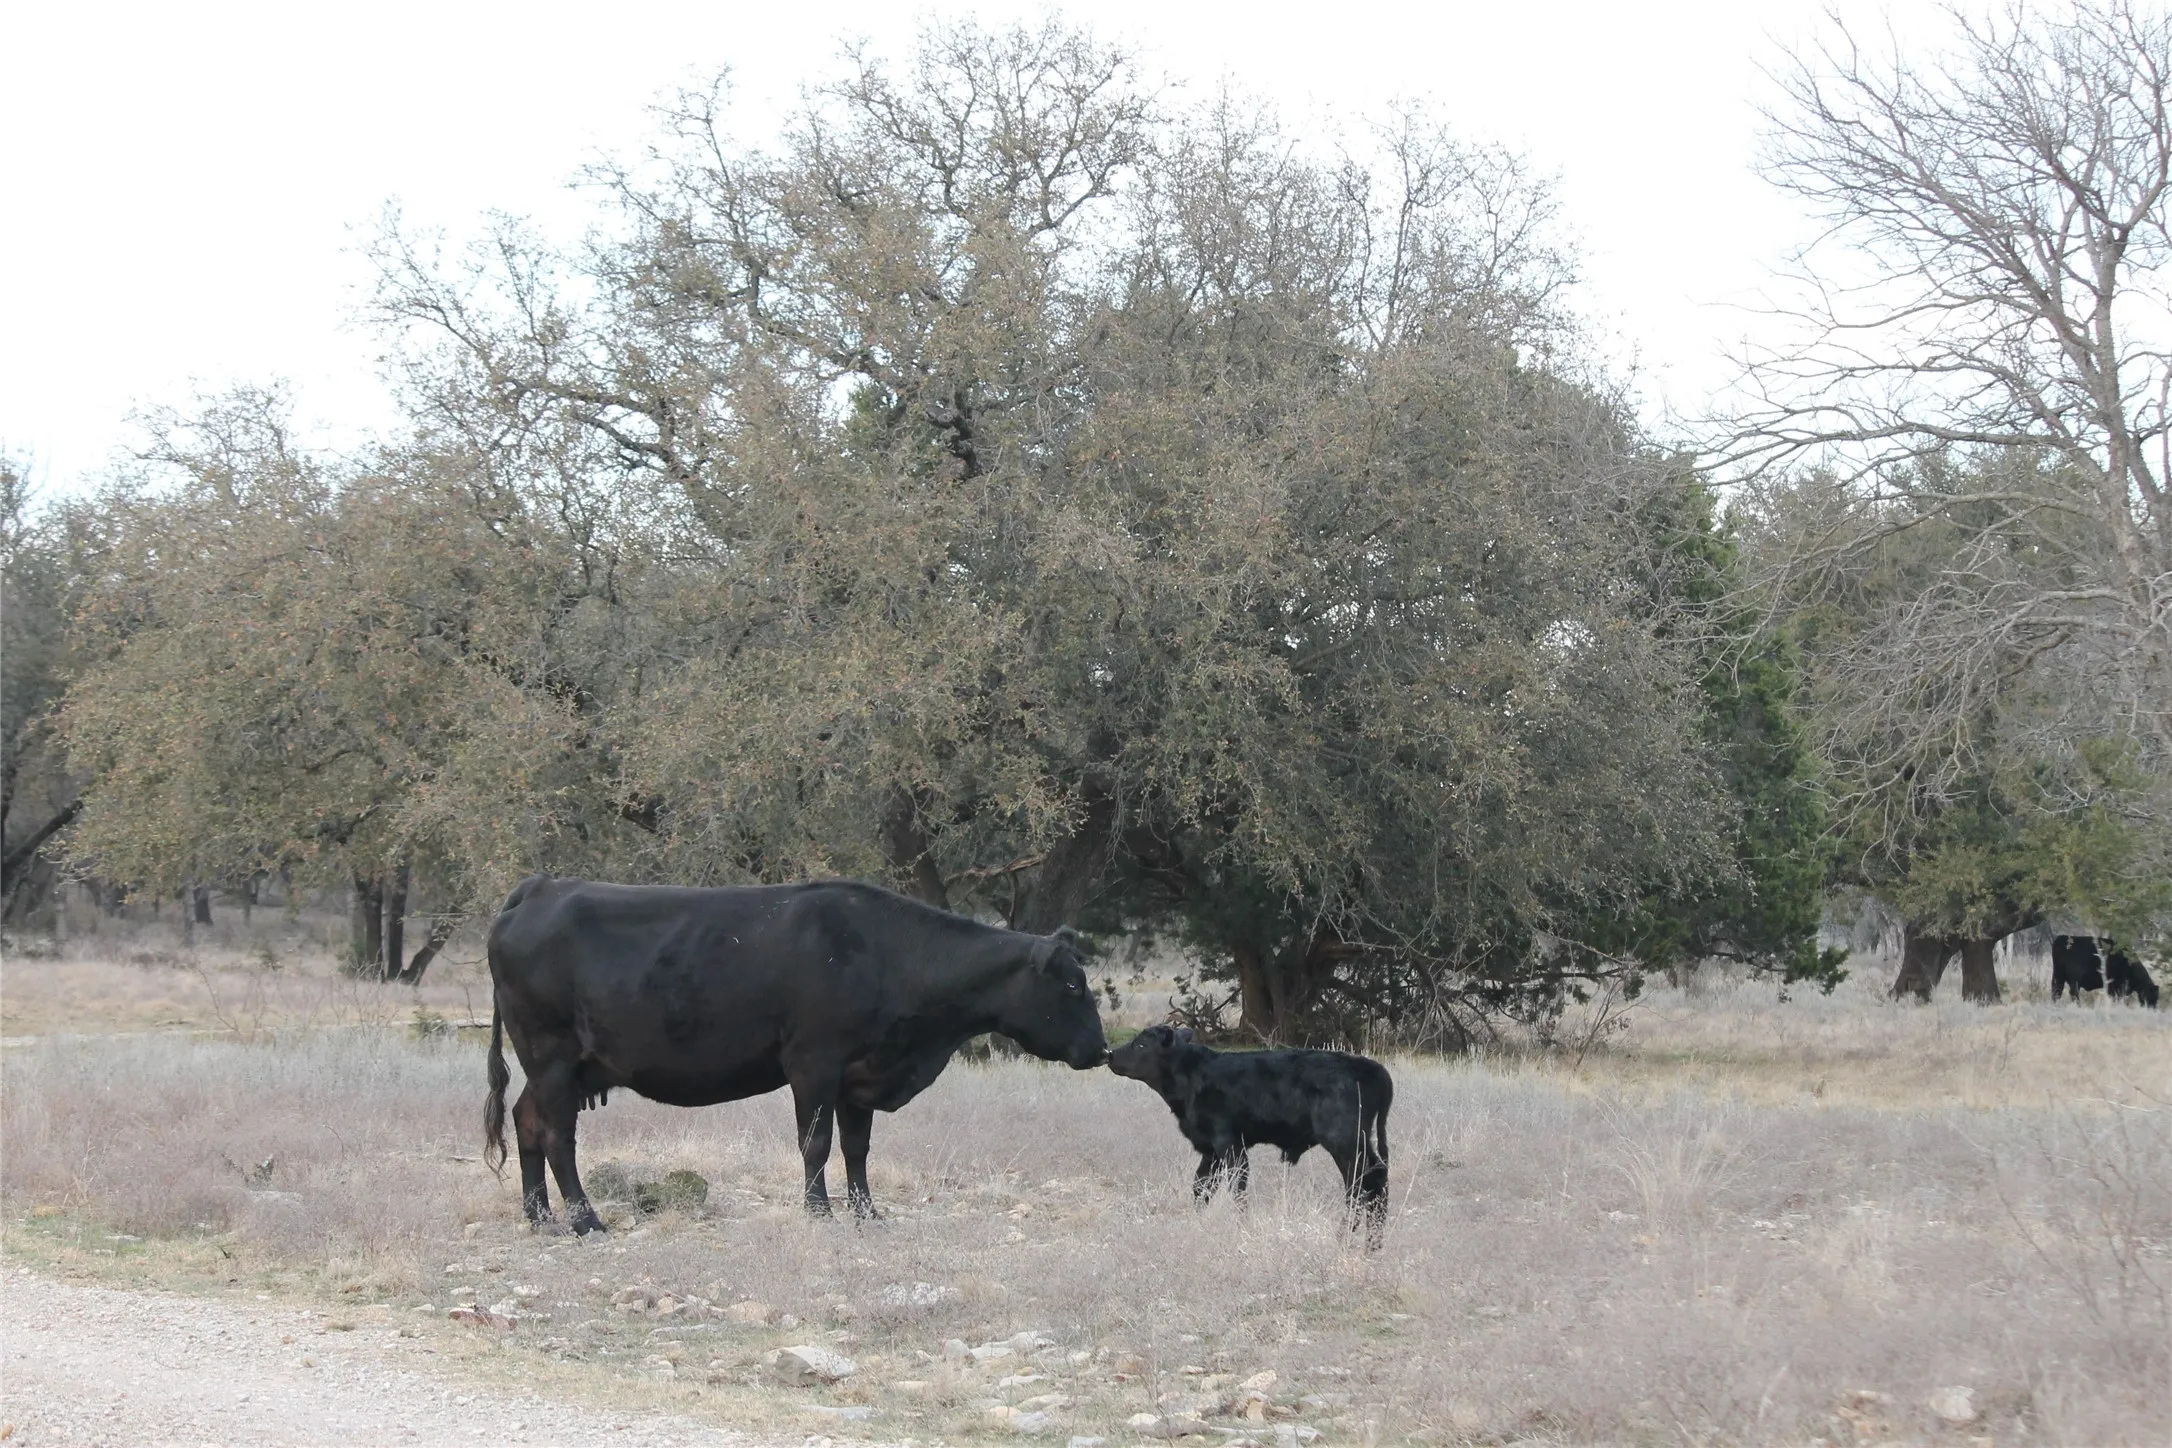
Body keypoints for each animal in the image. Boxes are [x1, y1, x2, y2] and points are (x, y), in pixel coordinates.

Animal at [483, 875, 1108, 1234]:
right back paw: (585, 1220)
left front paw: (867, 1213)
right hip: (550, 1053)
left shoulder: (861, 1075)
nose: (1103, 1049)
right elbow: (817, 1143)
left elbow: (857, 1148)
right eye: (1073, 986)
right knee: (557, 1134)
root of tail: (539, 888)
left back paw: (539, 1216)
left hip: (556, 1065)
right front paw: (819, 1211)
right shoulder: (813, 1063)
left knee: (526, 1120)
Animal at [1106, 1024, 1392, 1247]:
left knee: (1362, 1184)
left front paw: (1240, 1226)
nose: (1110, 1055)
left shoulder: (1229, 1143)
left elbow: (1237, 1187)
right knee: (1374, 1181)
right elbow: (1201, 1187)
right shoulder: (1209, 1150)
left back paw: (1346, 1237)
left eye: (1141, 1045)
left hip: (1345, 1142)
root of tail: (1369, 1066)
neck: (1192, 1076)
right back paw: (1372, 1244)